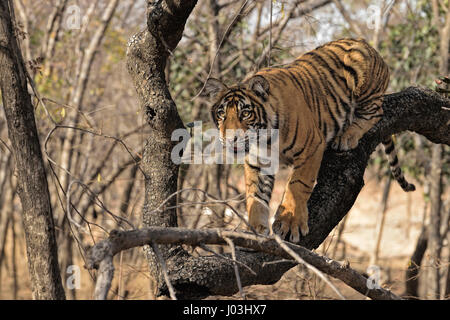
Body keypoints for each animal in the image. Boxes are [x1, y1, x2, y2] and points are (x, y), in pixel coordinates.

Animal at [200, 37, 414, 242]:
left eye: (245, 113)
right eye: (222, 114)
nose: (230, 139)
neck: (265, 137)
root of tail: (366, 44)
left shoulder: (312, 146)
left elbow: (297, 185)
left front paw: (290, 223)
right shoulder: (257, 161)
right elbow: (255, 195)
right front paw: (255, 229)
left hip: (362, 76)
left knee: (376, 111)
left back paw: (346, 136)